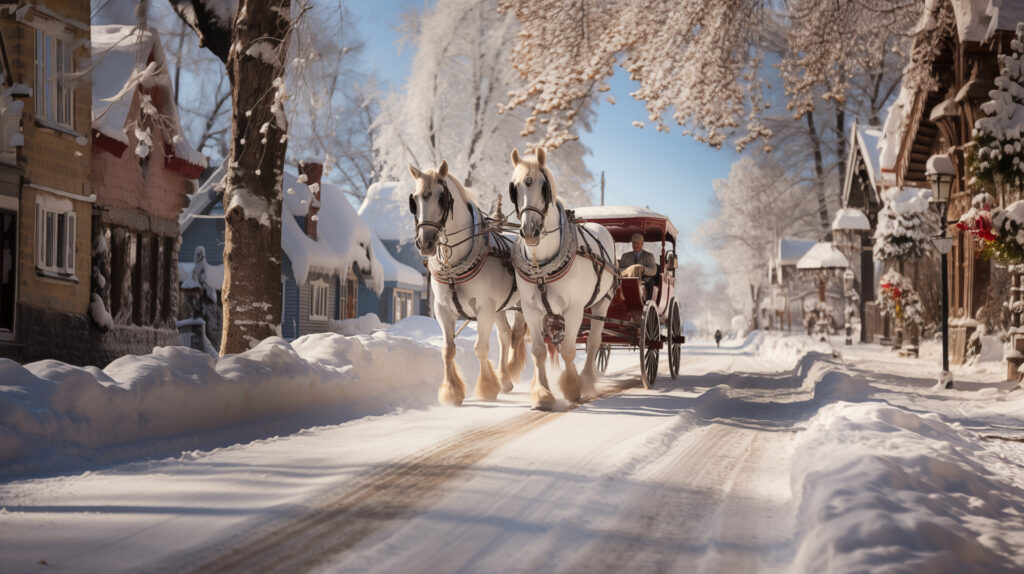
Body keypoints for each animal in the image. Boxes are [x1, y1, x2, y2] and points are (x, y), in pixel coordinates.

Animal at [407, 158, 528, 405]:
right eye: (414, 200)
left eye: (441, 198)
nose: (425, 243)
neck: (454, 265)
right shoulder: (443, 309)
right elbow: (447, 349)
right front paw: (452, 392)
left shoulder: (484, 309)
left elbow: (480, 347)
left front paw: (487, 388)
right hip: (501, 307)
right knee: (505, 336)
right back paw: (505, 379)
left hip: (523, 305)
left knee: (526, 336)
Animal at [505, 147, 614, 407]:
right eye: (514, 188)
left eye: (543, 186)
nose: (529, 231)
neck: (541, 265)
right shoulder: (531, 309)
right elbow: (538, 351)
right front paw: (543, 394)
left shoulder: (574, 309)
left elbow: (568, 350)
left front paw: (573, 387)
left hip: (601, 303)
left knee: (594, 342)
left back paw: (587, 379)